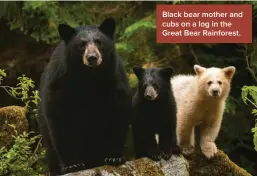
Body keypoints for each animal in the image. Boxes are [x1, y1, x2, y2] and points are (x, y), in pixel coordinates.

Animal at [38, 17, 132, 175]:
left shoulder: (114, 81)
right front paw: (72, 165)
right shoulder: (60, 84)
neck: (89, 78)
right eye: (81, 44)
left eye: (99, 41)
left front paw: (114, 157)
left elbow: (118, 115)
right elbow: (60, 121)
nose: (92, 57)